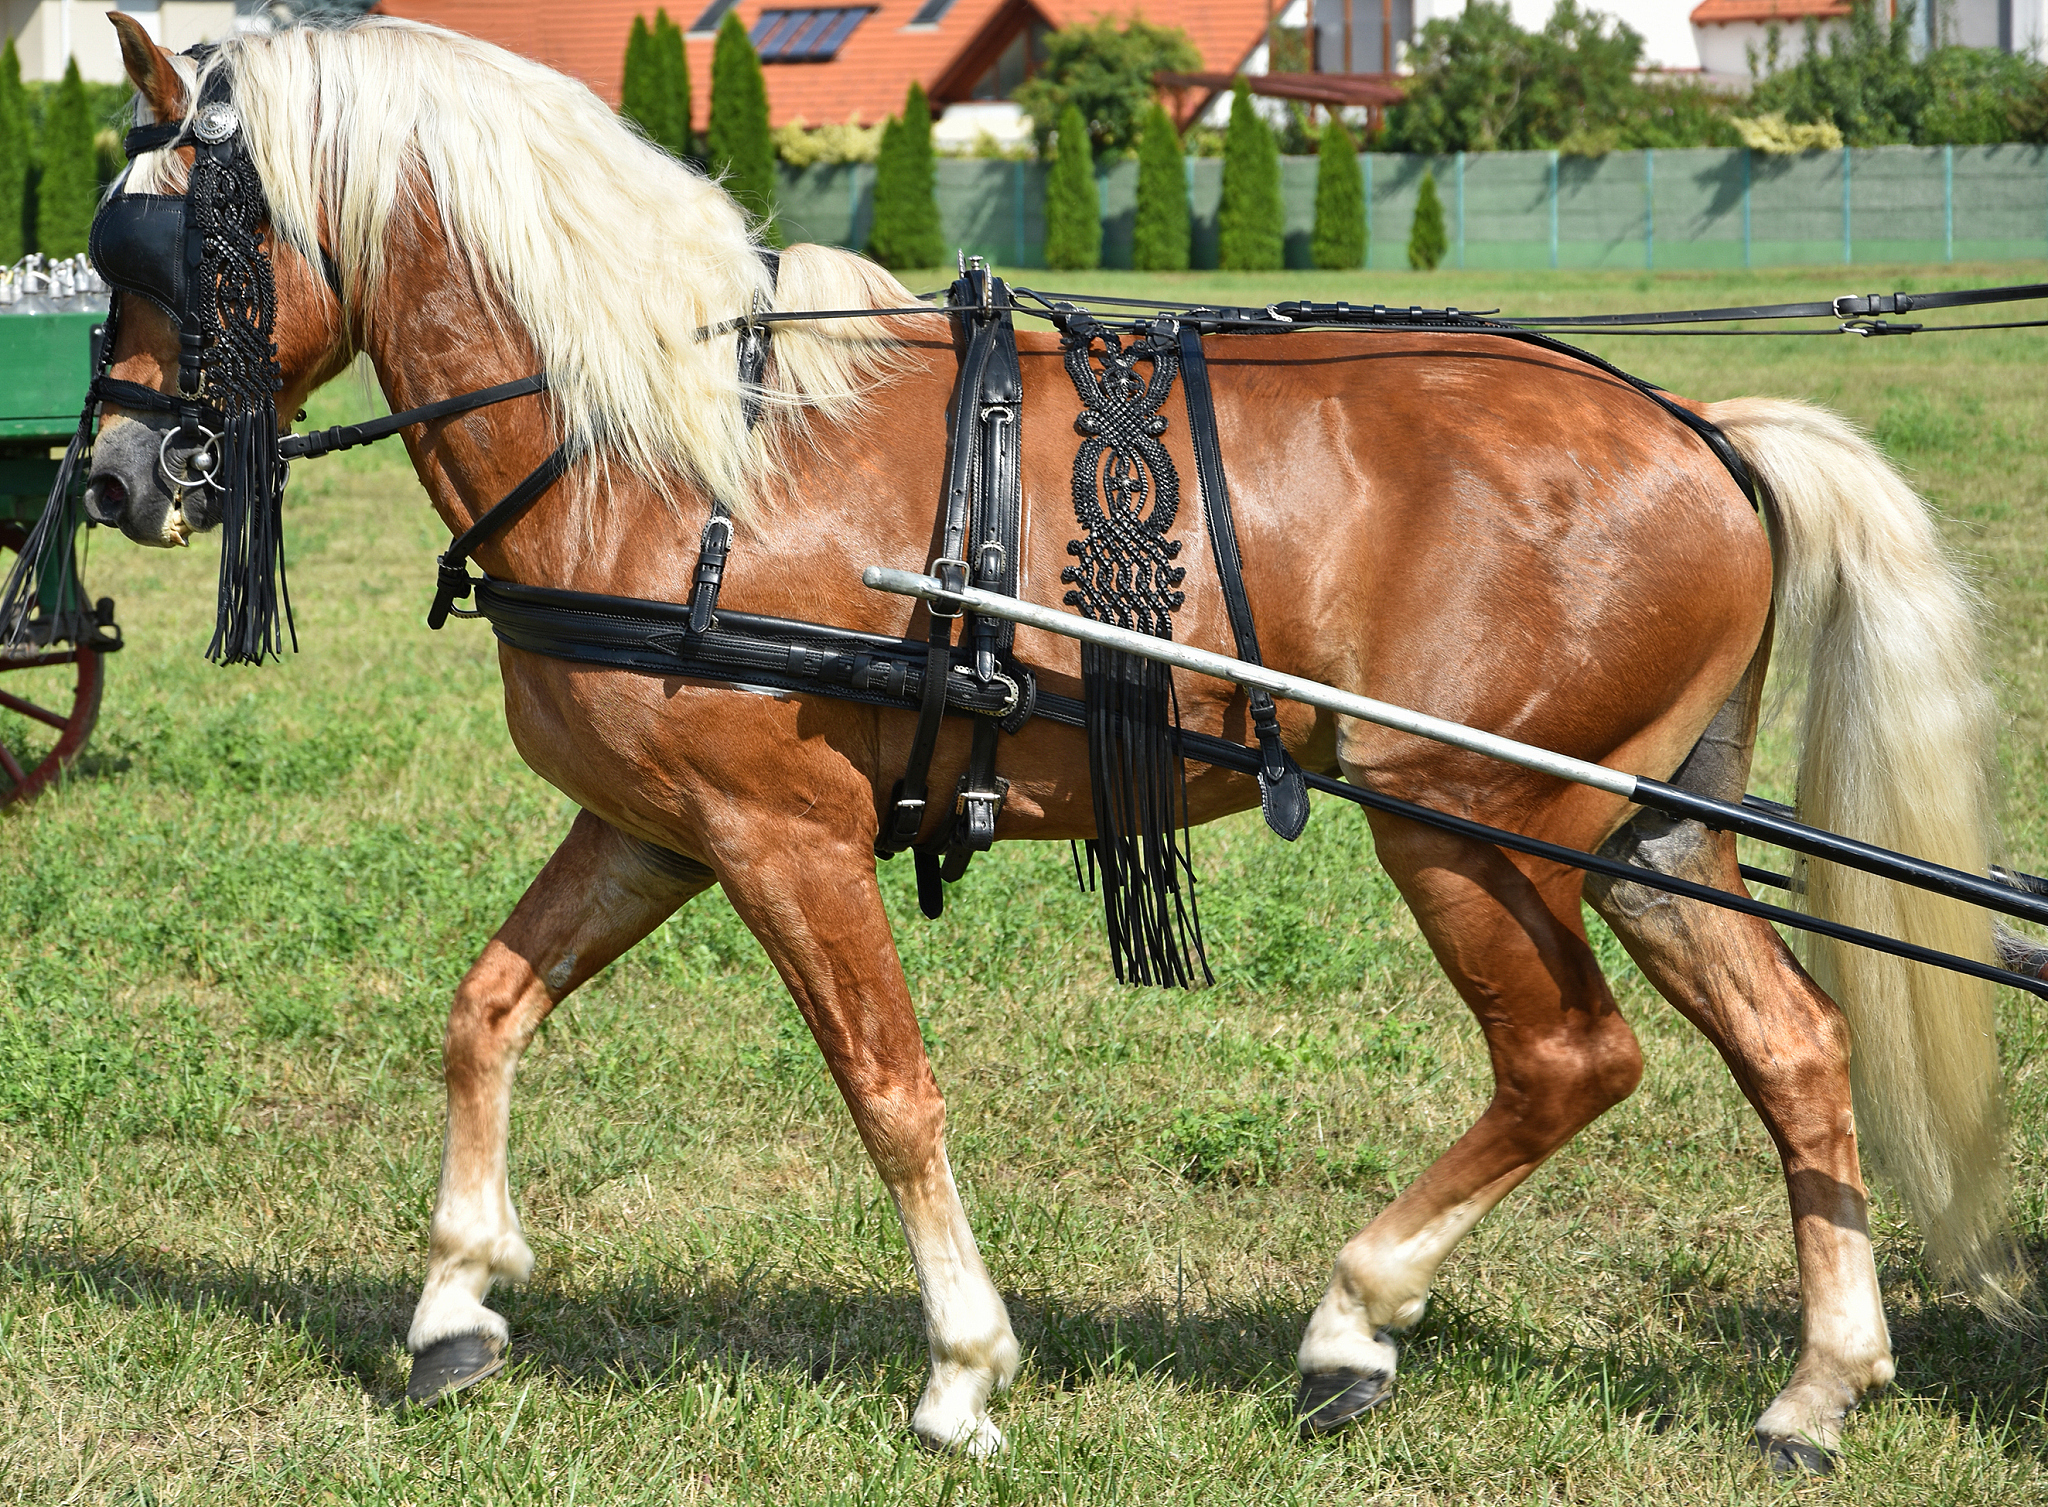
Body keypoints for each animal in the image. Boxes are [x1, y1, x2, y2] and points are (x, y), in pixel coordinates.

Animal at [84, 14, 2014, 1468]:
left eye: (165, 247)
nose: (112, 472)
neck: (679, 450)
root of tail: (1709, 427)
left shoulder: (779, 830)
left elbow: (889, 1086)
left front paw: (961, 1369)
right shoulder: (654, 825)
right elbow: (485, 1007)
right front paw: (453, 1299)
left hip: (1461, 815)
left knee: (1568, 1061)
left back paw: (1352, 1319)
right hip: (1642, 827)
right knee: (1796, 1045)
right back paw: (1813, 1386)